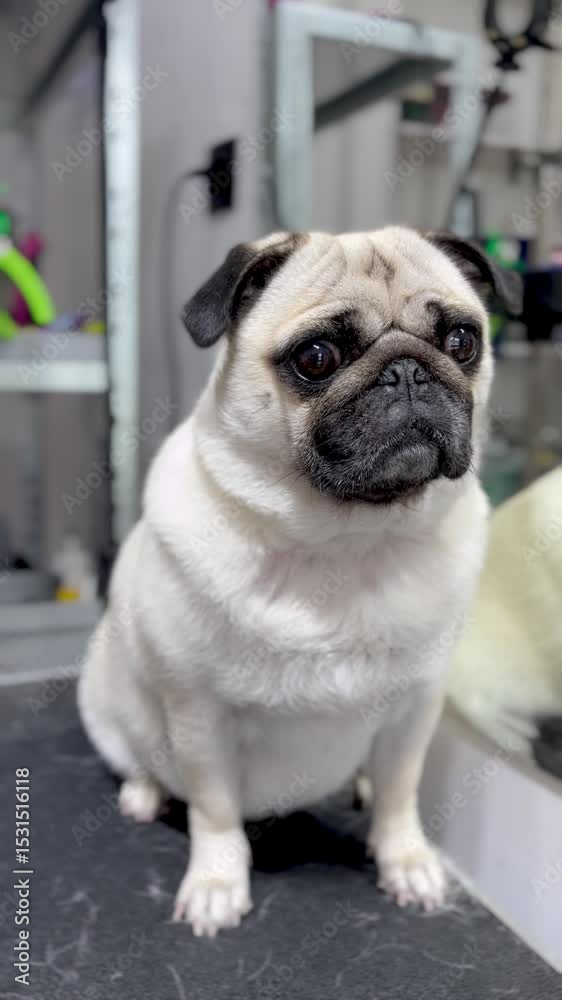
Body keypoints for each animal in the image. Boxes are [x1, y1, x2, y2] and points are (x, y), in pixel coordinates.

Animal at [78, 226, 521, 937]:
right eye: (316, 358)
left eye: (461, 342)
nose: (408, 370)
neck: (344, 541)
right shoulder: (200, 718)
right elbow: (214, 811)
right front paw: (217, 882)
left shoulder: (415, 710)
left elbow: (400, 793)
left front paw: (405, 862)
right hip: (105, 701)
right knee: (138, 756)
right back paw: (143, 793)